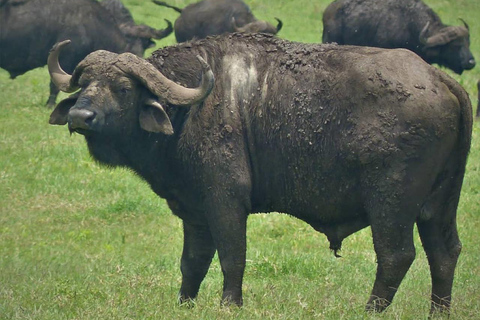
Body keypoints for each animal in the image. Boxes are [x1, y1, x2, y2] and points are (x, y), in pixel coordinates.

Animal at [47, 33, 470, 316]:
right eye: (86, 83)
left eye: (122, 88)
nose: (80, 116)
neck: (191, 109)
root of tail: (439, 79)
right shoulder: (194, 211)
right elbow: (192, 261)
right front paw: (185, 304)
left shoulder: (226, 201)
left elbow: (232, 255)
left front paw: (229, 304)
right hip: (439, 206)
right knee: (444, 253)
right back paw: (438, 312)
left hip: (391, 203)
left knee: (396, 255)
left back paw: (369, 310)